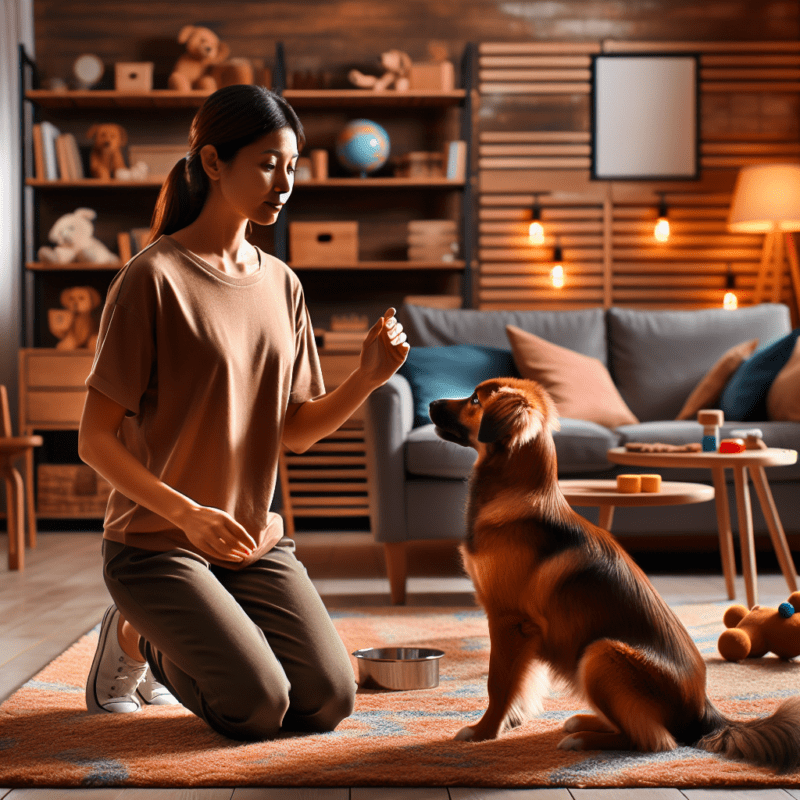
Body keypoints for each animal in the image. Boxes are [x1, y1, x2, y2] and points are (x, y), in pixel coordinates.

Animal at [432, 378, 800, 772]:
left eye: (474, 400)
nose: (431, 404)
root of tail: (703, 713)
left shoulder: (508, 622)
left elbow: (498, 683)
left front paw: (484, 731)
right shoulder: (521, 634)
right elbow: (522, 682)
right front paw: (511, 720)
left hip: (600, 653)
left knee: (654, 739)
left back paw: (583, 738)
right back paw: (586, 721)